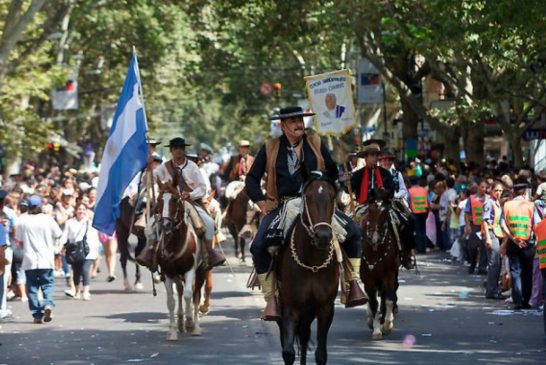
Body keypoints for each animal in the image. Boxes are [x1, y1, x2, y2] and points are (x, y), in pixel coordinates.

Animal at [157, 185, 208, 342]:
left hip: (200, 273)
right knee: (179, 290)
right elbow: (171, 301)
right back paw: (180, 322)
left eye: (175, 199)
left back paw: (195, 326)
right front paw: (172, 331)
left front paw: (190, 322)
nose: (165, 225)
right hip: (176, 275)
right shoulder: (168, 273)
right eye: (159, 200)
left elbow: (188, 295)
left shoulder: (190, 270)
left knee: (195, 295)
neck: (175, 244)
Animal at [276, 173, 340, 364]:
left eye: (332, 197)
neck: (312, 263)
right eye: (308, 197)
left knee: (304, 335)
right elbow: (288, 352)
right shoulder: (291, 307)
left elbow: (321, 354)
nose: (323, 236)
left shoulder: (325, 307)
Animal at [360, 196, 398, 338]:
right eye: (370, 211)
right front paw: (376, 329)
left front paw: (387, 325)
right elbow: (373, 302)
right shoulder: (368, 277)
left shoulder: (389, 273)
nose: (375, 238)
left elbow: (389, 299)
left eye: (385, 213)